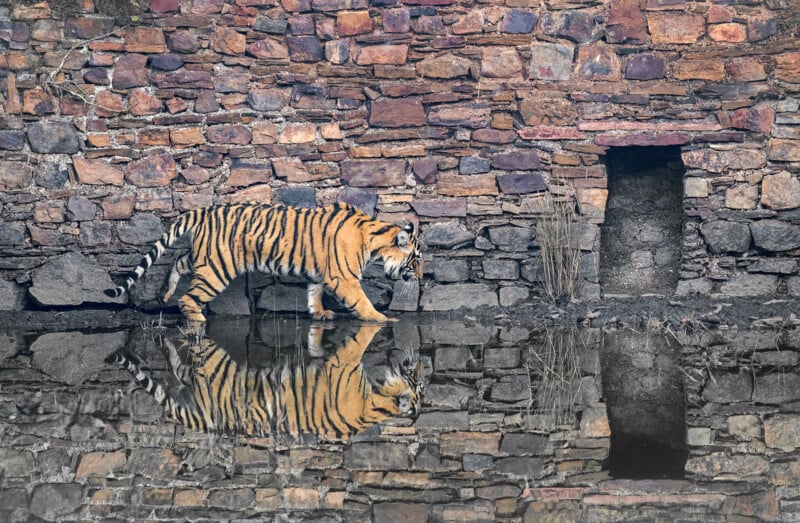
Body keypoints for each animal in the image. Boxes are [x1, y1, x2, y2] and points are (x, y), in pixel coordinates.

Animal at [104, 203, 424, 326]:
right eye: (417, 260)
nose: (421, 278)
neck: (373, 239)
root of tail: (204, 210)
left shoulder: (320, 272)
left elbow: (314, 292)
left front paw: (320, 313)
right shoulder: (343, 278)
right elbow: (362, 301)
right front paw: (382, 319)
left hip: (203, 256)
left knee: (179, 262)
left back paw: (165, 293)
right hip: (217, 268)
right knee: (189, 297)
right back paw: (197, 318)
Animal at [109, 324, 428, 442]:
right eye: (421, 382)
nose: (422, 363)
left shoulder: (346, 361)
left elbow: (359, 342)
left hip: (216, 368)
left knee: (190, 357)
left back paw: (168, 336)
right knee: (182, 366)